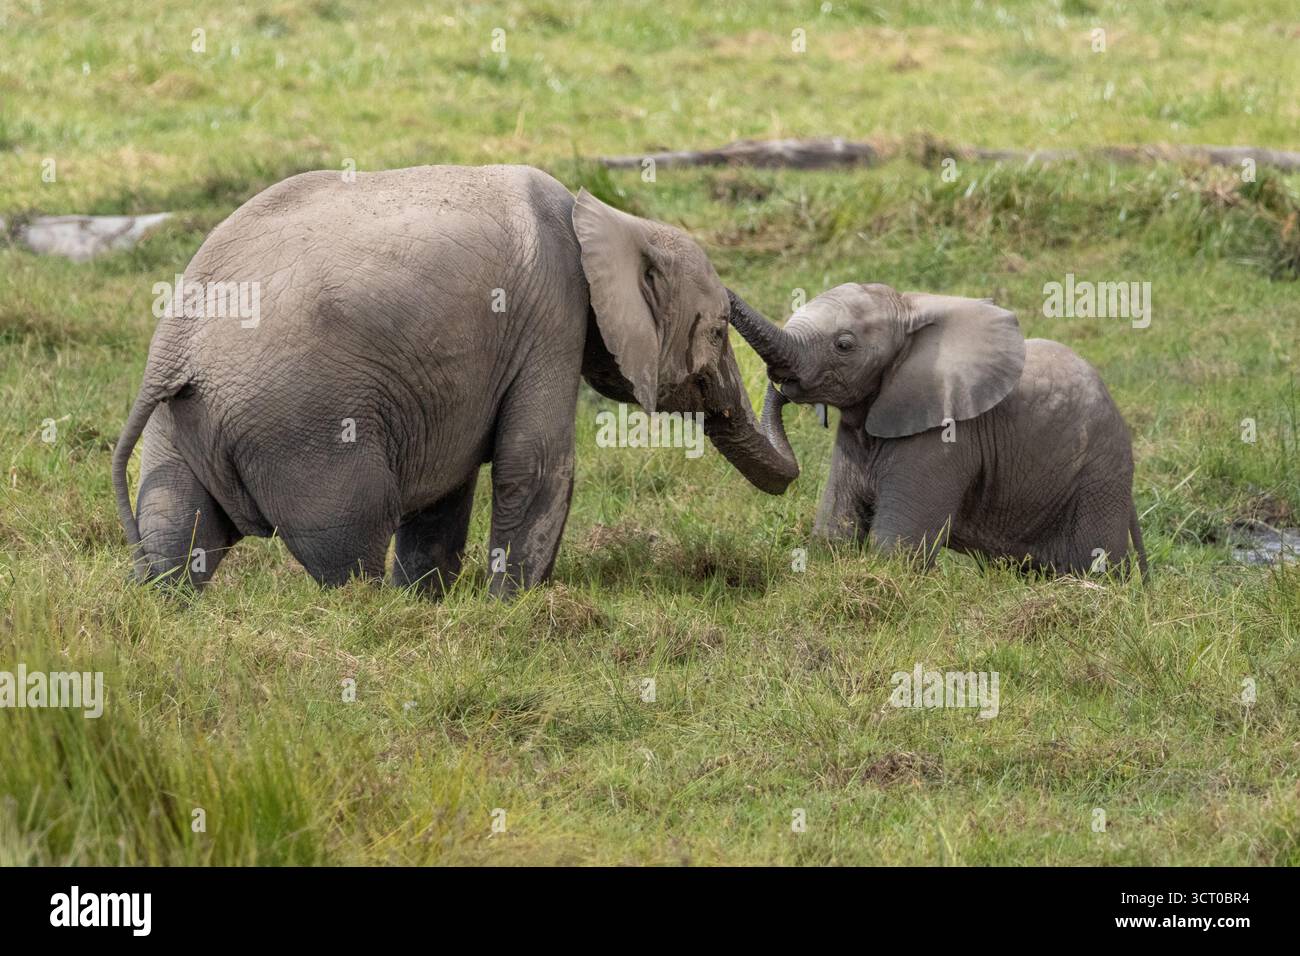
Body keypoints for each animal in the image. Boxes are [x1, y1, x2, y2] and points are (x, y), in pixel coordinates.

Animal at [111, 164, 798, 596]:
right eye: (717, 332)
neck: (605, 218)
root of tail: (173, 348)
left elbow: (447, 485)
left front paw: (430, 604)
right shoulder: (553, 313)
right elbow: (534, 461)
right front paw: (512, 610)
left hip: (188, 416)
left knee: (177, 528)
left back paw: (170, 607)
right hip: (300, 426)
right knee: (351, 535)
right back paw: (367, 616)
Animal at [728, 282, 1146, 576]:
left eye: (844, 345)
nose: (783, 386)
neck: (908, 308)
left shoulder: (946, 439)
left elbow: (896, 549)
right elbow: (835, 534)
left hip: (1100, 476)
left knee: (1096, 562)